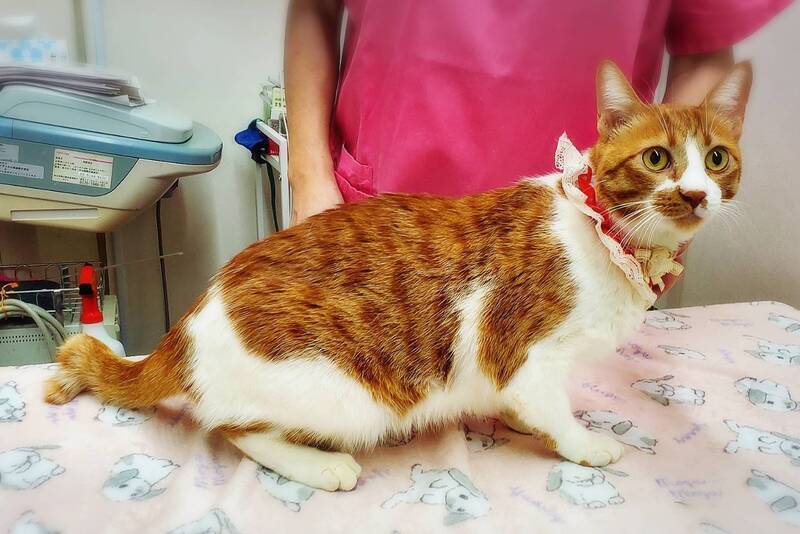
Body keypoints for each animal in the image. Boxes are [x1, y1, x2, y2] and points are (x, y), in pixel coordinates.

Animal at [43, 60, 752, 491]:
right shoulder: (524, 351)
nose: (695, 194)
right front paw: (580, 441)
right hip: (345, 396)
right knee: (231, 428)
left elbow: (528, 404)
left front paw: (524, 423)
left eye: (717, 159)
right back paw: (320, 466)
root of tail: (189, 323)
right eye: (657, 159)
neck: (607, 236)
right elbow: (550, 404)